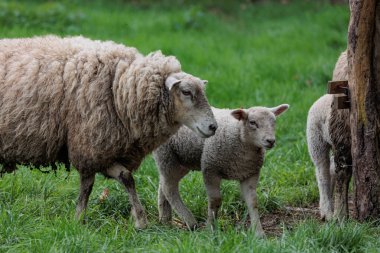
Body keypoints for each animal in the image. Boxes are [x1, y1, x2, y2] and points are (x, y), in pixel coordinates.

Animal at [0, 36, 218, 229]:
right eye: (186, 92)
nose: (213, 127)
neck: (119, 88)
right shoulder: (88, 146)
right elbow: (88, 187)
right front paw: (79, 219)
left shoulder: (105, 152)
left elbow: (126, 177)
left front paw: (139, 221)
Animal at [153, 103, 290, 235]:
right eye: (252, 122)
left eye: (274, 122)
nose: (270, 141)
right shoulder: (210, 169)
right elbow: (215, 201)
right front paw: (210, 229)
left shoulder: (250, 173)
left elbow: (253, 202)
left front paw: (259, 233)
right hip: (166, 155)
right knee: (169, 188)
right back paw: (190, 221)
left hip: (181, 160)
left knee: (163, 183)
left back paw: (165, 219)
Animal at [306, 50, 350, 220]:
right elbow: (343, 173)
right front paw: (341, 216)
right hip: (316, 142)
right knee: (322, 173)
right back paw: (327, 211)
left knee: (330, 169)